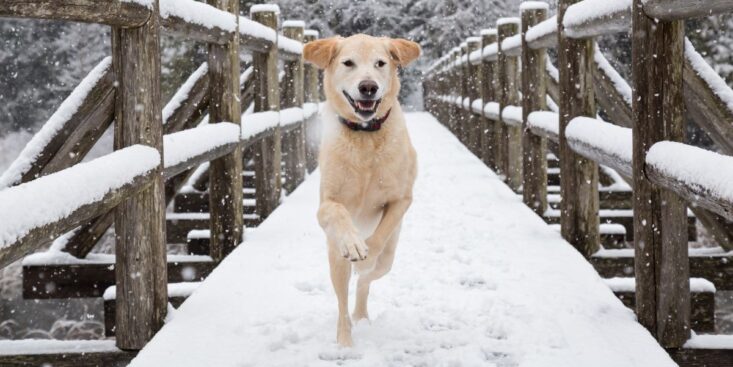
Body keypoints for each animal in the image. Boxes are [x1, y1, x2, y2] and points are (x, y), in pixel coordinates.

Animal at [302, 35, 418, 348]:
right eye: (348, 63)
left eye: (380, 63)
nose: (368, 87)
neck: (365, 135)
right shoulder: (325, 204)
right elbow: (338, 212)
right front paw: (354, 243)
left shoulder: (402, 199)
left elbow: (379, 235)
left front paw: (365, 252)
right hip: (334, 258)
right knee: (342, 300)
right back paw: (345, 341)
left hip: (389, 258)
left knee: (366, 280)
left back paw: (362, 311)